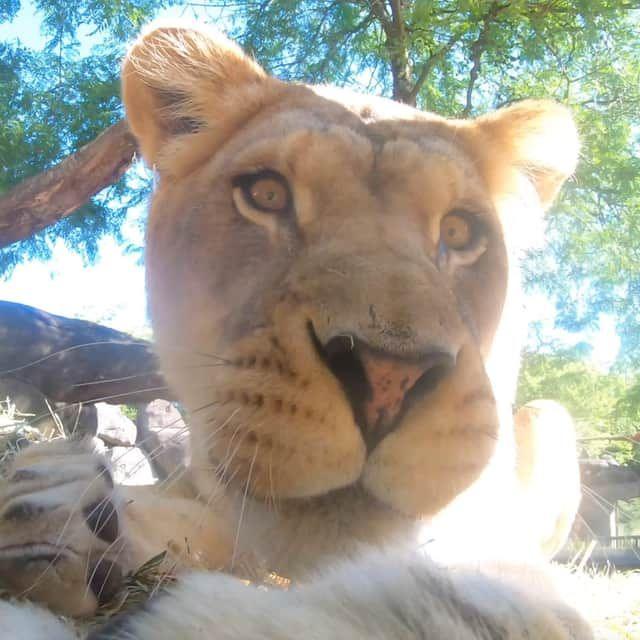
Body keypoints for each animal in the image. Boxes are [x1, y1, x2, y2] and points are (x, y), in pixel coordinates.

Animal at [0, 21, 588, 640]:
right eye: (267, 194)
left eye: (459, 231)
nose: (388, 379)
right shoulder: (205, 499)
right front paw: (52, 510)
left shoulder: (494, 548)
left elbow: (470, 600)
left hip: (549, 414)